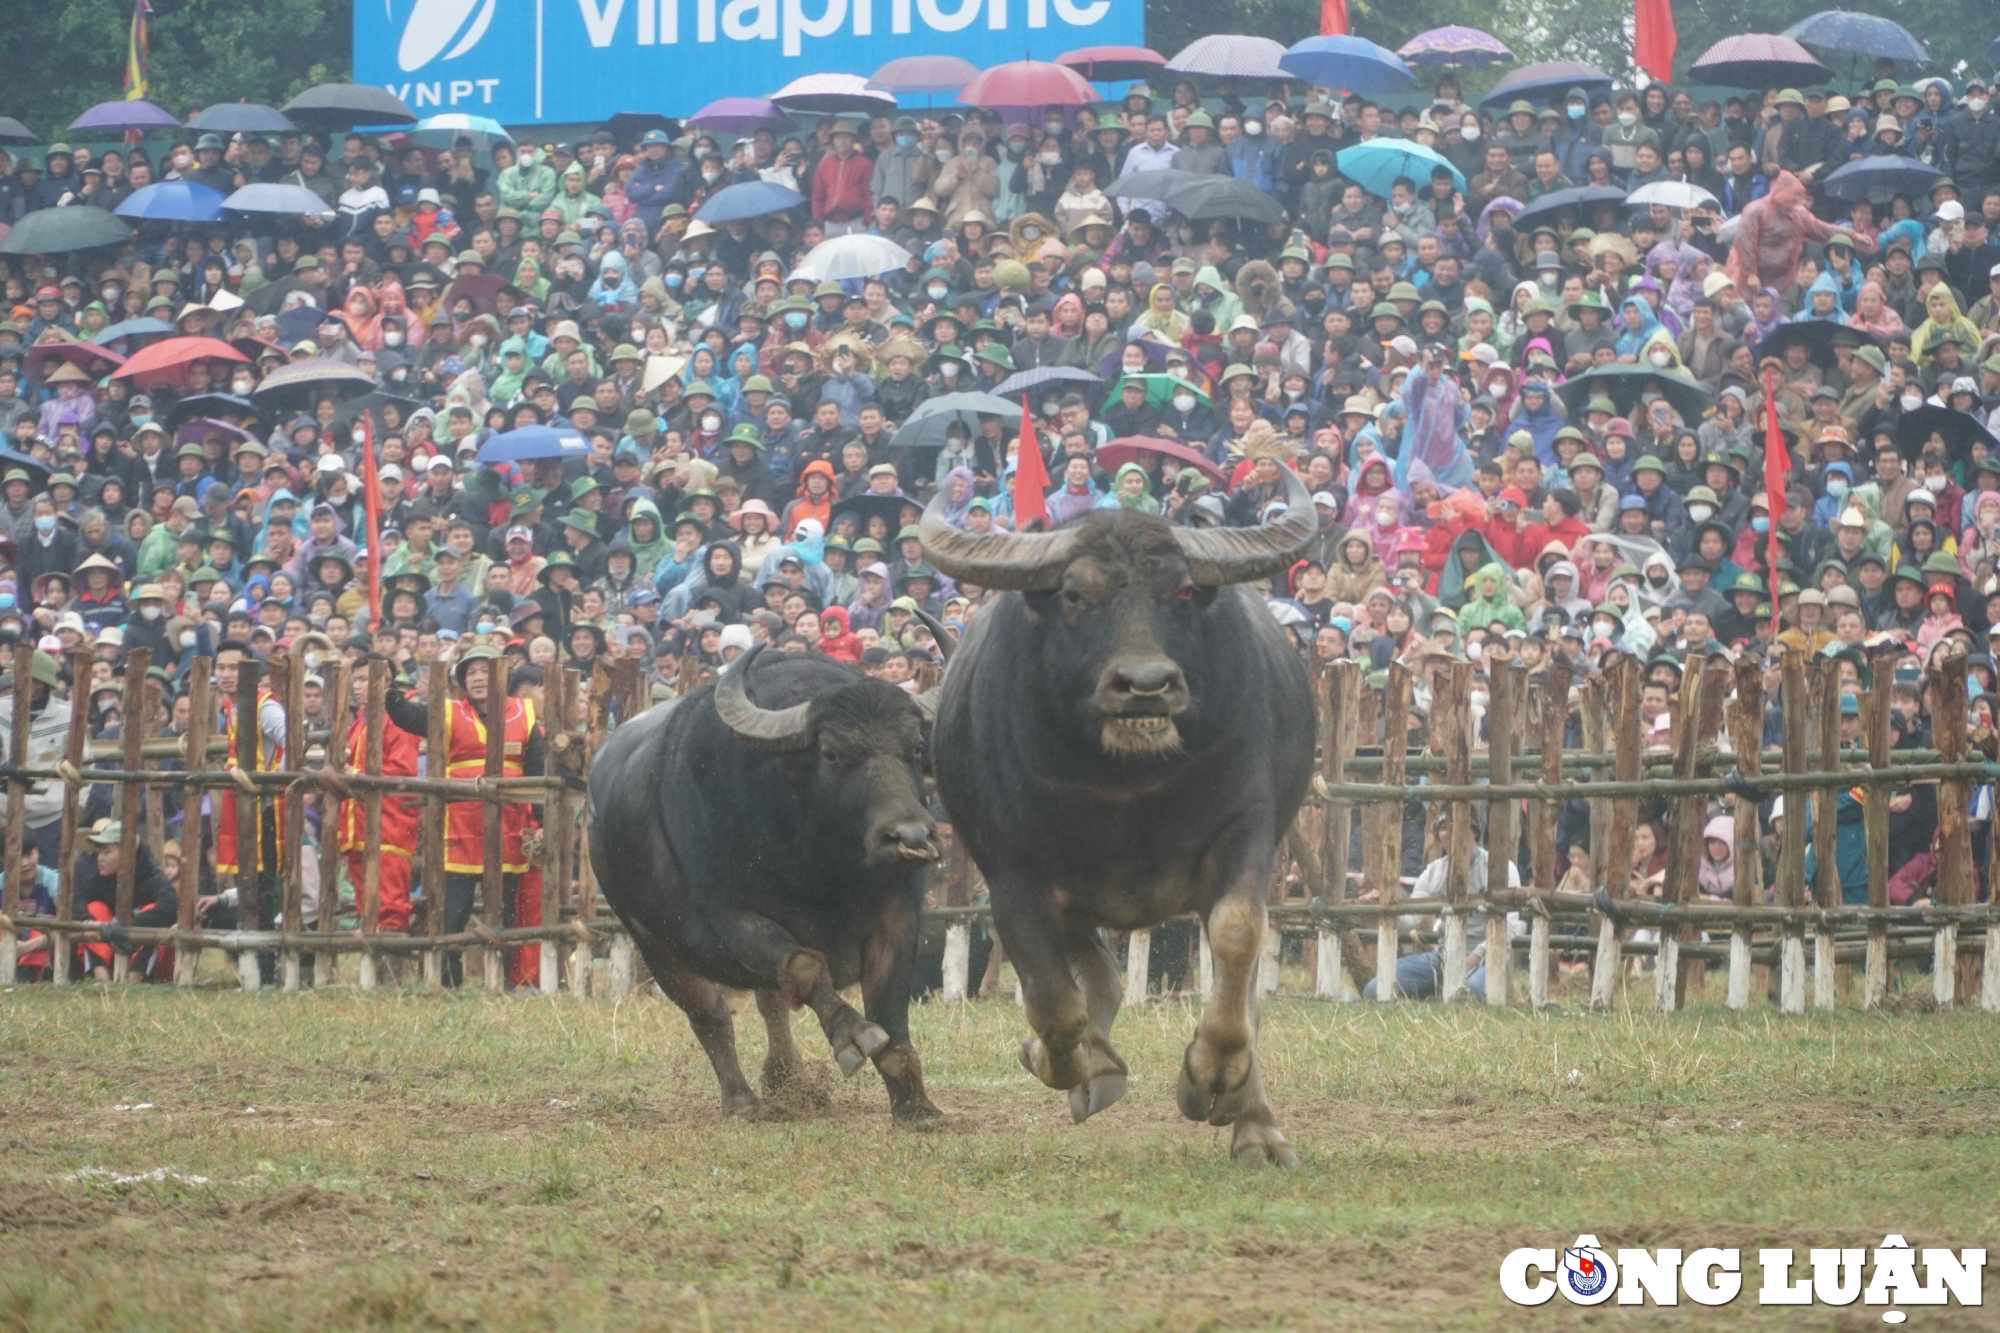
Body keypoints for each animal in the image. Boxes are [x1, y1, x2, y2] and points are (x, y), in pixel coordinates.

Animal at [584, 640, 944, 1112]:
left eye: (916, 748)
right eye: (831, 753)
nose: (911, 836)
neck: (824, 872)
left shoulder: (898, 916)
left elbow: (890, 1013)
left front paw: (916, 1105)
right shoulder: (732, 920)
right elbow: (805, 966)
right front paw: (852, 1033)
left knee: (770, 1001)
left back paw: (788, 1078)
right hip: (652, 941)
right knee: (710, 1015)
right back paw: (742, 1100)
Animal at [924, 466, 1328, 1160]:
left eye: (1183, 590)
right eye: (1074, 595)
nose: (1146, 685)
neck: (1128, 787)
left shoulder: (1246, 827)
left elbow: (1238, 937)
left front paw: (1209, 1078)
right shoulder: (1010, 873)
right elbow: (1054, 1004)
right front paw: (1074, 1063)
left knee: (1235, 989)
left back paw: (1253, 1124)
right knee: (1095, 977)